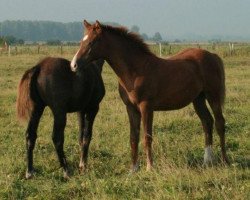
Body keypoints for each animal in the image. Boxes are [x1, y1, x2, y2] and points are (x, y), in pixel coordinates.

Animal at [70, 20, 229, 172]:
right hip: (198, 99)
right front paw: (133, 169)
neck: (136, 70)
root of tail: (212, 56)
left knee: (219, 123)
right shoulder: (131, 108)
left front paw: (149, 167)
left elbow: (147, 137)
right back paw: (207, 160)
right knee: (207, 122)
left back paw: (224, 160)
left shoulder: (146, 107)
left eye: (92, 42)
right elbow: (133, 137)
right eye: (81, 41)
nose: (73, 65)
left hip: (213, 95)